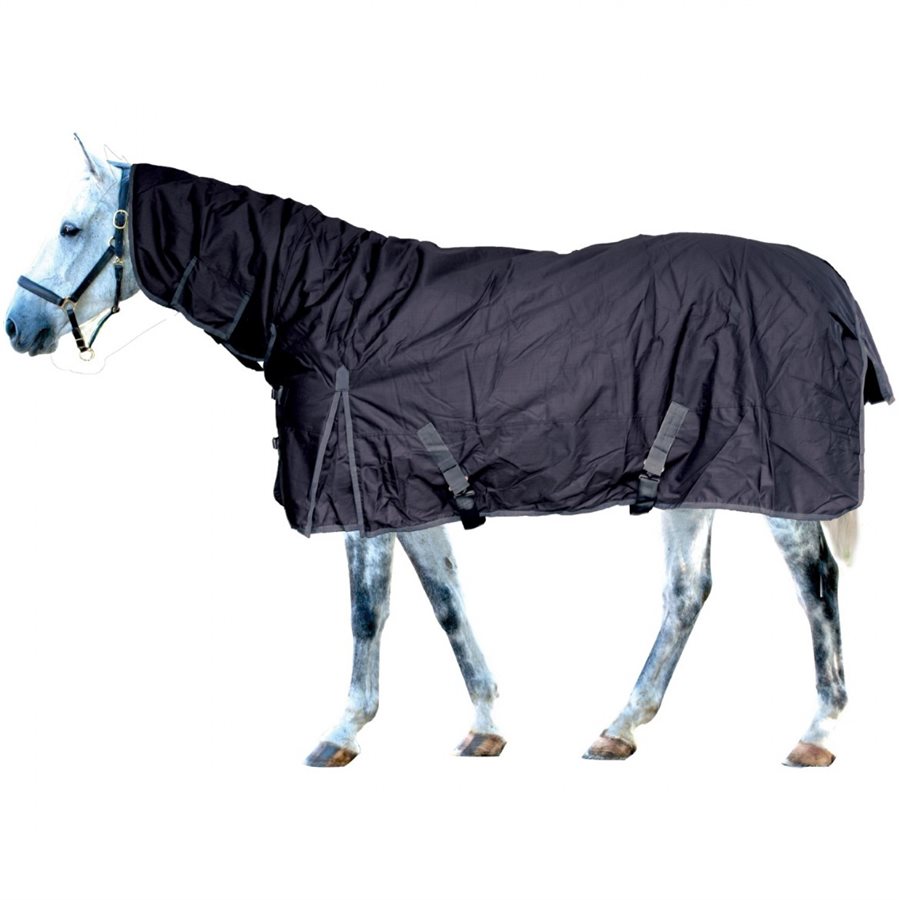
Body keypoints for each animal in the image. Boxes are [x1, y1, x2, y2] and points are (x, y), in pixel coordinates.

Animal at [6, 137, 881, 768]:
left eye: (70, 228)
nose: (19, 325)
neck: (329, 307)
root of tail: (832, 285)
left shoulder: (361, 496)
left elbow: (368, 613)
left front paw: (343, 733)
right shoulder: (408, 498)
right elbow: (446, 603)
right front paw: (485, 723)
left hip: (777, 481)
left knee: (815, 583)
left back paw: (817, 733)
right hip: (689, 483)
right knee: (687, 592)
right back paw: (619, 727)